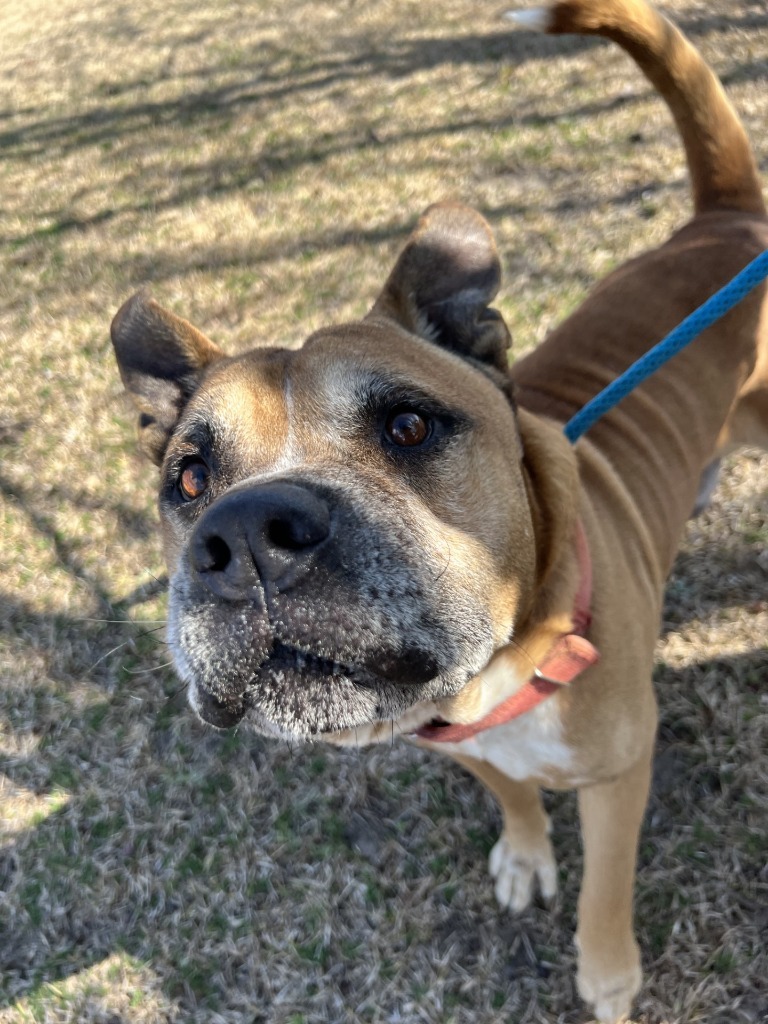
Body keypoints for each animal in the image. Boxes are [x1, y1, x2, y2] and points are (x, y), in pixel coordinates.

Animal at [109, 4, 768, 1019]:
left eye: (409, 424)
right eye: (188, 478)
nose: (246, 536)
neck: (504, 665)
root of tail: (727, 216)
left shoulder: (621, 772)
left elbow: (606, 888)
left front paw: (606, 972)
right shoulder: (458, 743)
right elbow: (512, 794)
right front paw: (526, 852)